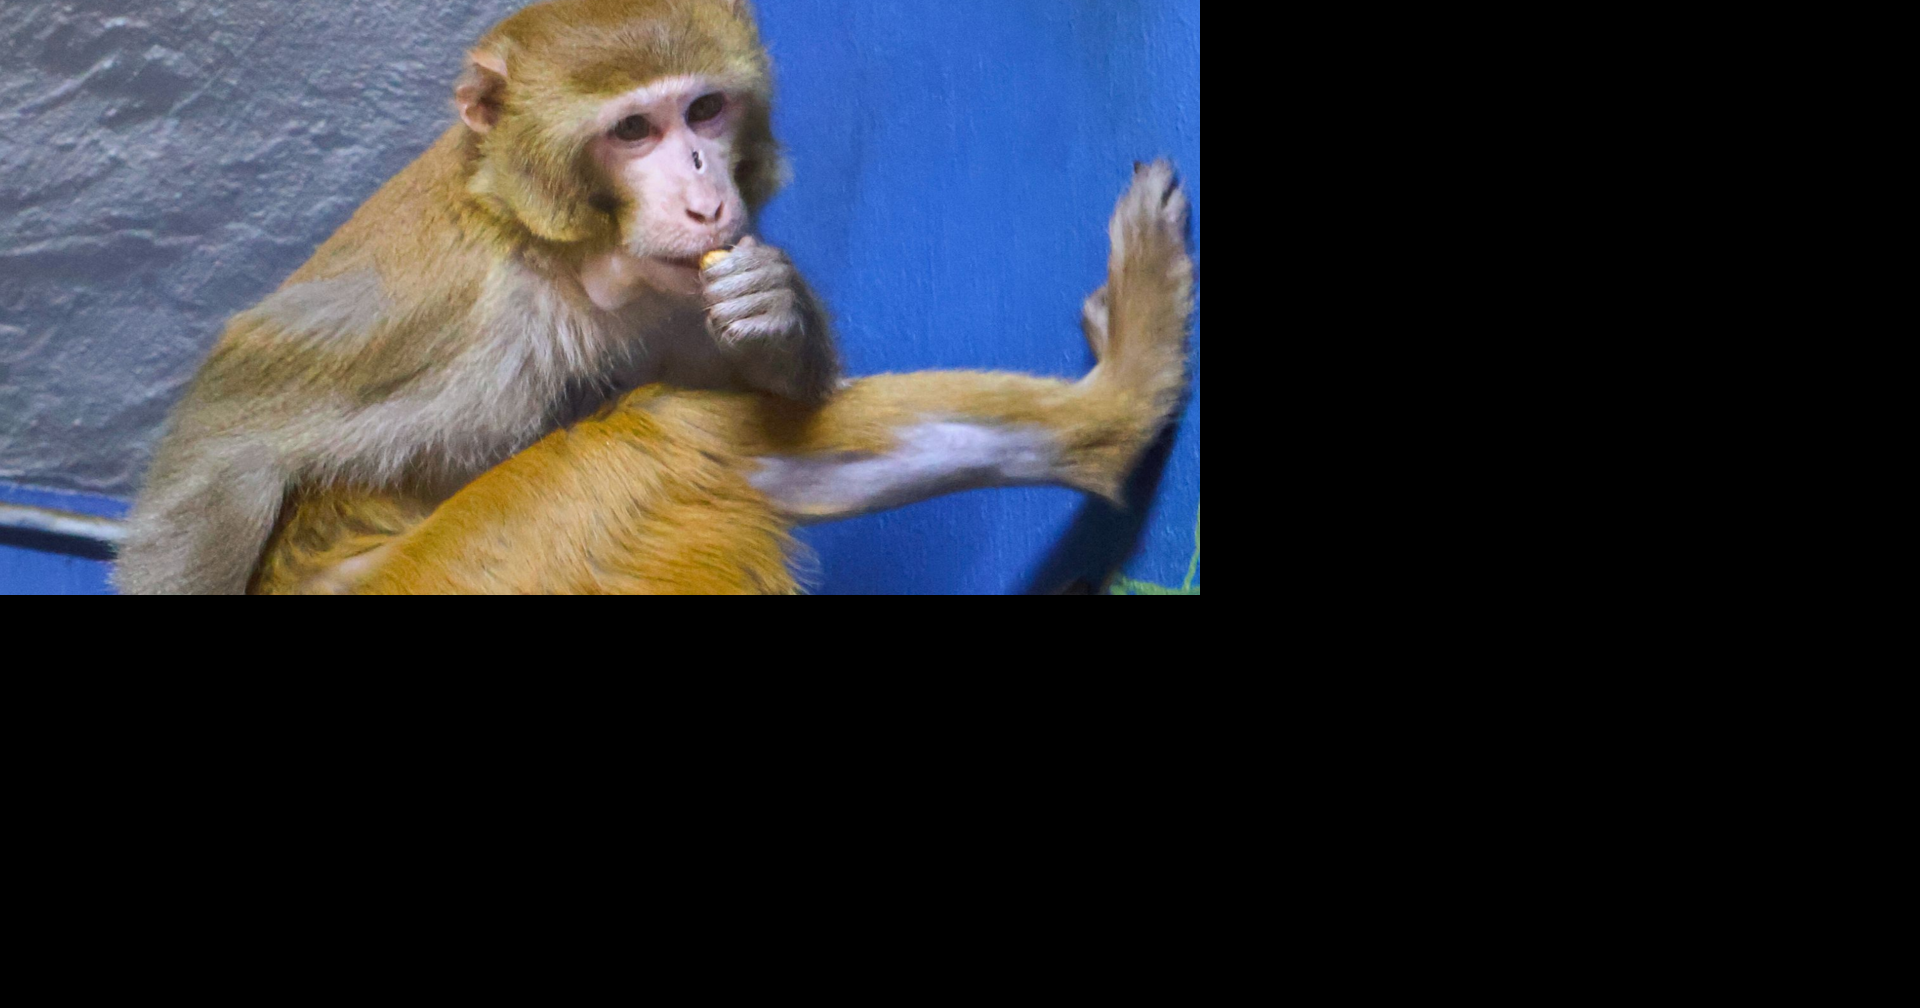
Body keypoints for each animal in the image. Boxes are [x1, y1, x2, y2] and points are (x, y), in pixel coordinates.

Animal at [115, 0, 1193, 595]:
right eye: (633, 130)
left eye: (705, 110)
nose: (704, 191)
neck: (564, 256)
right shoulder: (439, 316)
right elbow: (219, 459)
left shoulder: (671, 288)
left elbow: (772, 389)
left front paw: (775, 310)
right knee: (665, 437)